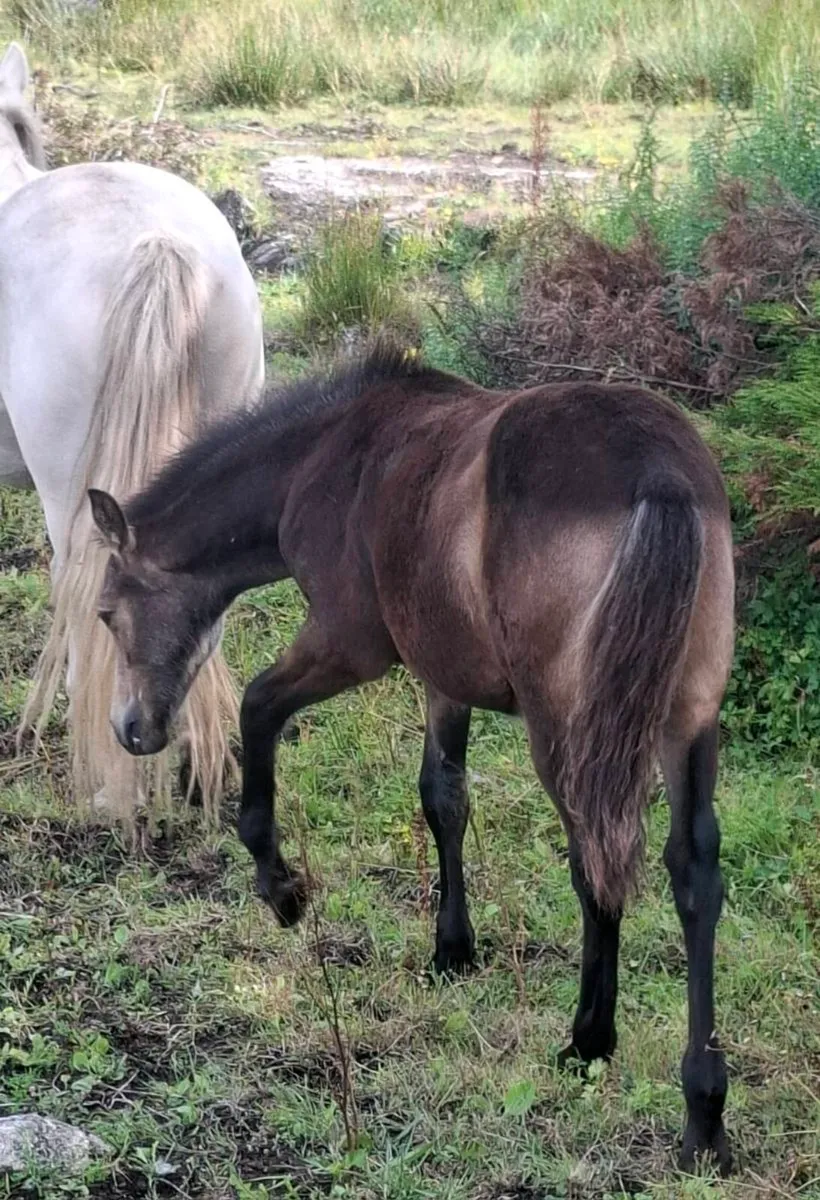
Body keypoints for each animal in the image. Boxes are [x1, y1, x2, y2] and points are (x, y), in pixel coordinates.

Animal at [86, 344, 736, 1173]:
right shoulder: (443, 674)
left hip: (569, 728)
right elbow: (443, 797)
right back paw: (704, 1110)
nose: (131, 729)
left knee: (595, 857)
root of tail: (658, 469)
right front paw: (453, 948)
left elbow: (258, 707)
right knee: (693, 875)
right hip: (687, 720)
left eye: (108, 612)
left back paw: (590, 1040)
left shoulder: (349, 643)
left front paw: (280, 886)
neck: (325, 458)